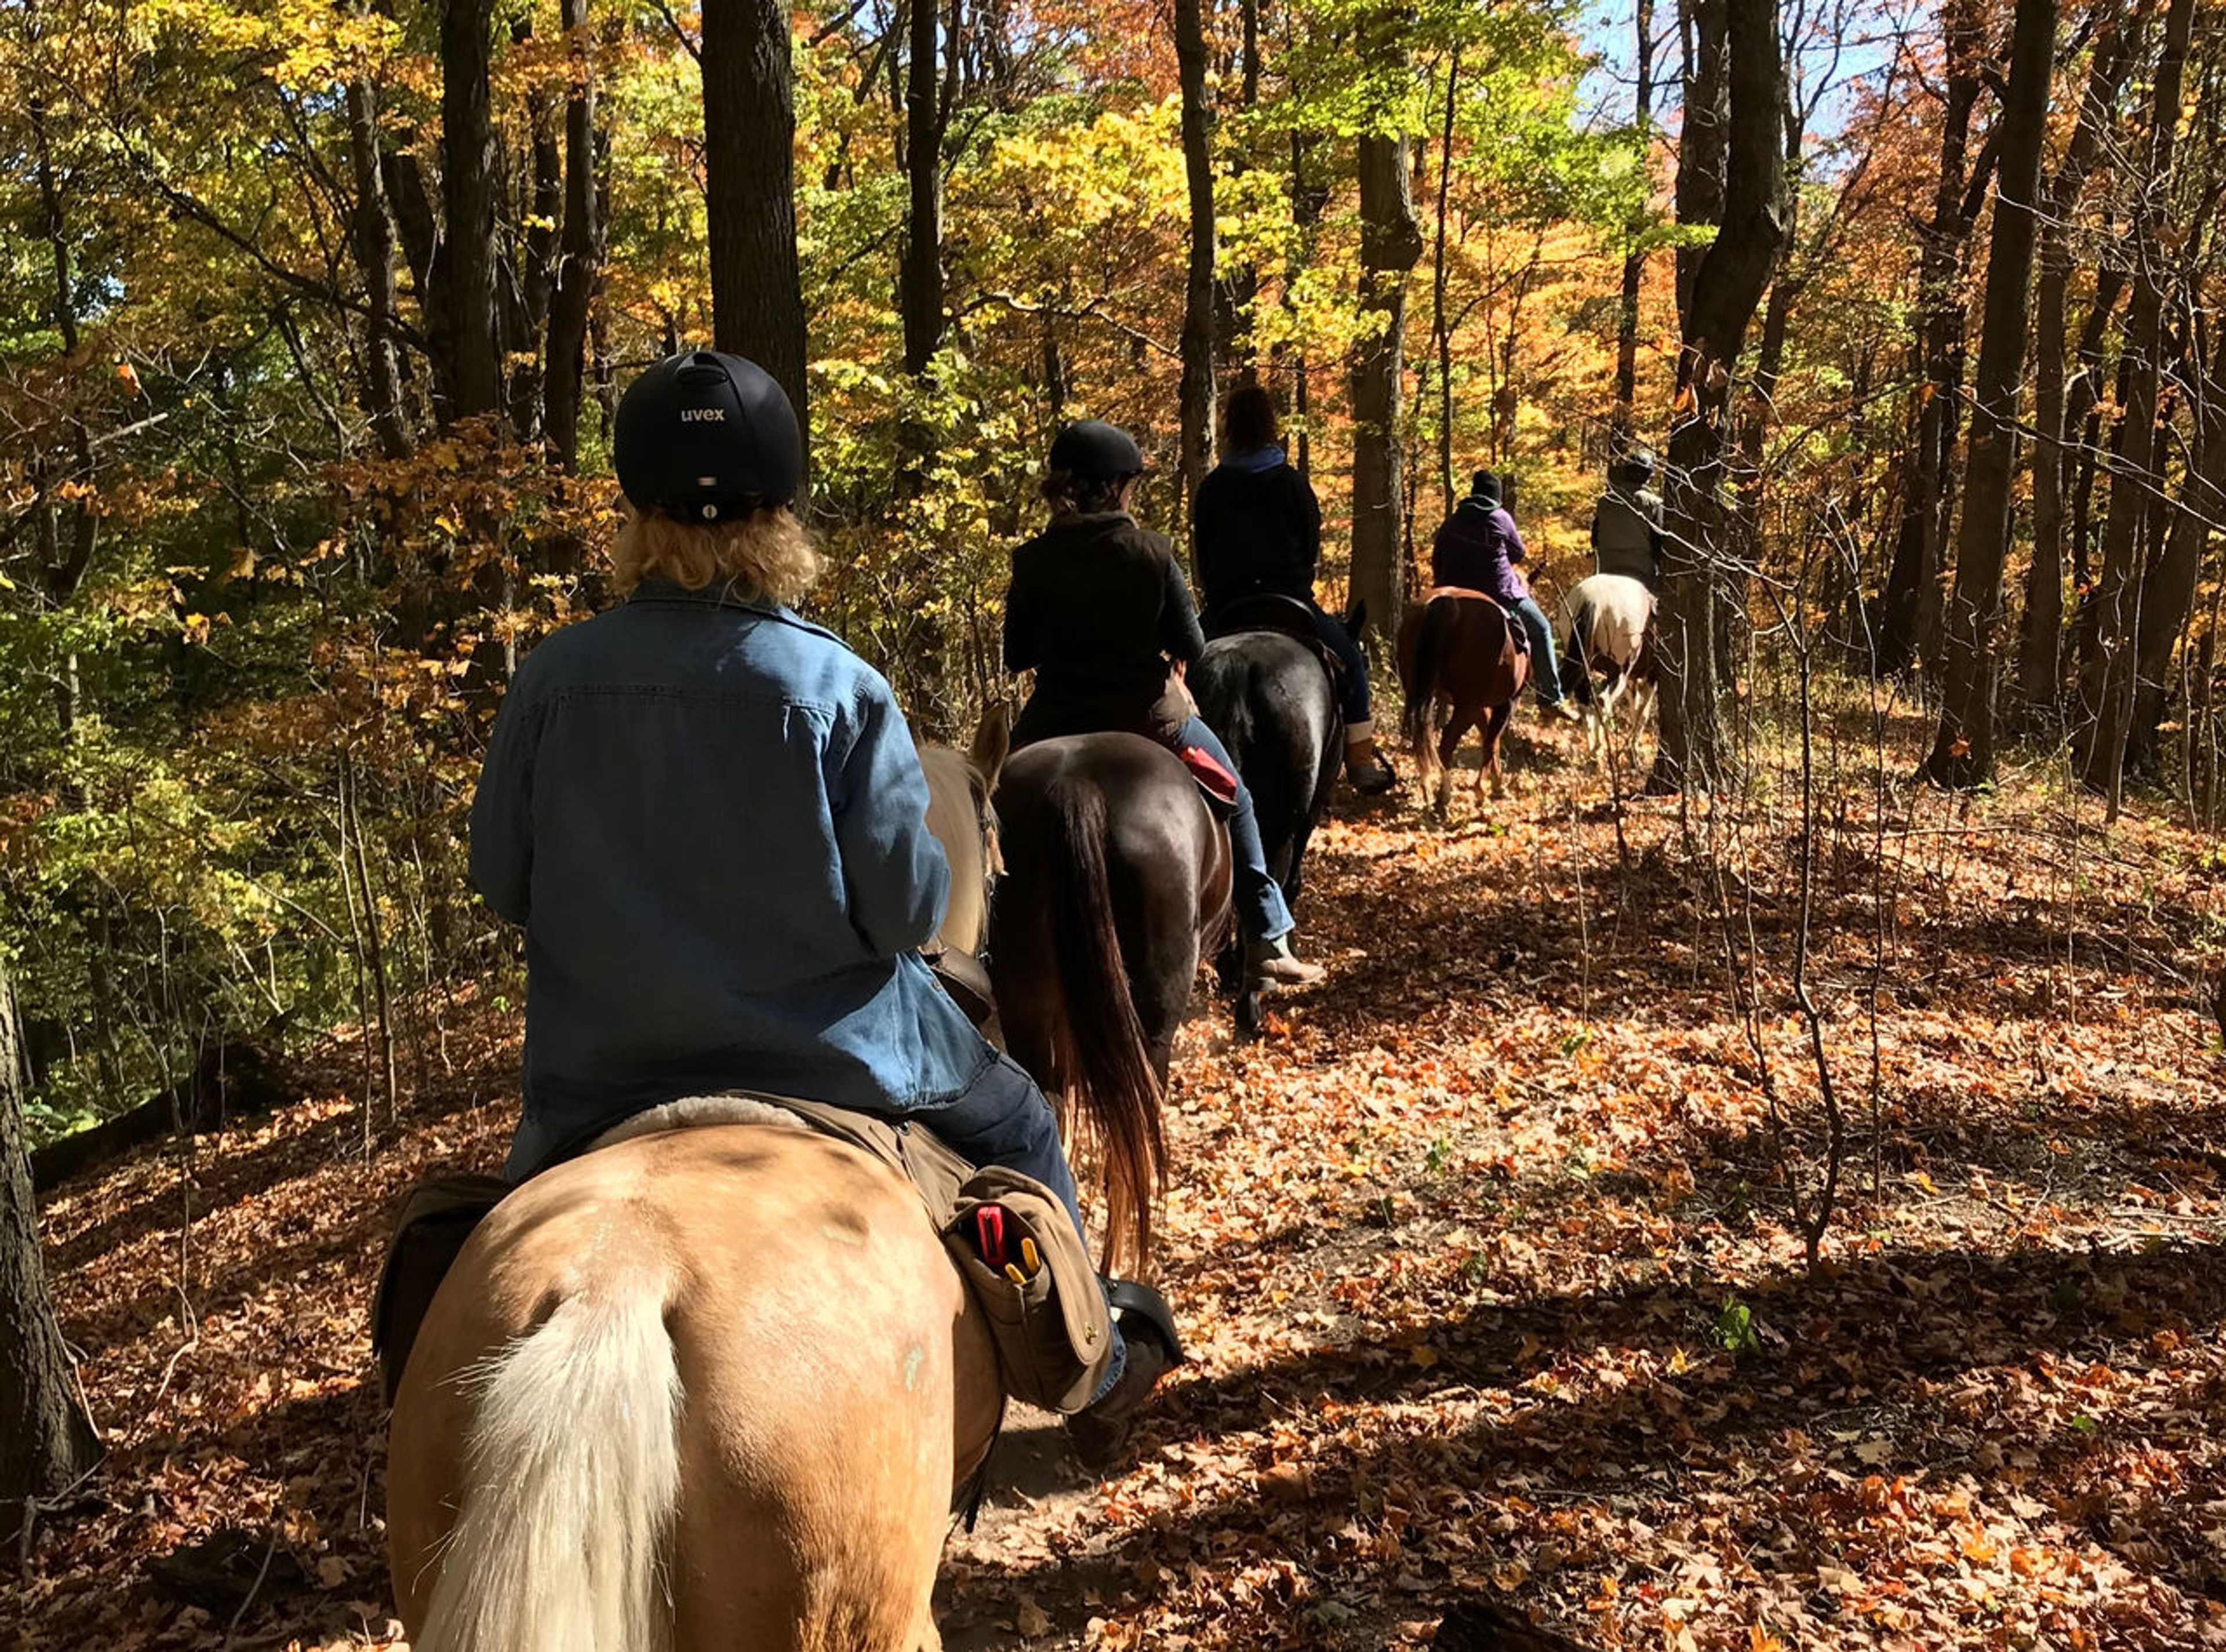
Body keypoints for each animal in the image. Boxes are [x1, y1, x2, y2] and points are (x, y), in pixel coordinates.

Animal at [1389, 588, 1531, 814]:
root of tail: (1444, 601)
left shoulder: (1480, 707)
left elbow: (1490, 738)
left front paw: (1496, 784)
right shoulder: (1506, 703)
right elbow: (1491, 741)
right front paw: (1483, 790)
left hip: (1420, 693)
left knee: (1420, 735)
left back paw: (1427, 789)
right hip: (1468, 706)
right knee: (1448, 739)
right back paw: (1444, 796)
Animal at [1558, 574, 1665, 761]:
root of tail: (1592, 599)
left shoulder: (1632, 680)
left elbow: (1634, 707)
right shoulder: (1651, 676)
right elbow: (1642, 713)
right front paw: (1633, 748)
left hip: (1584, 666)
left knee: (1585, 703)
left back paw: (1592, 751)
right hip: (1619, 671)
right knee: (1603, 701)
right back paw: (1600, 748)